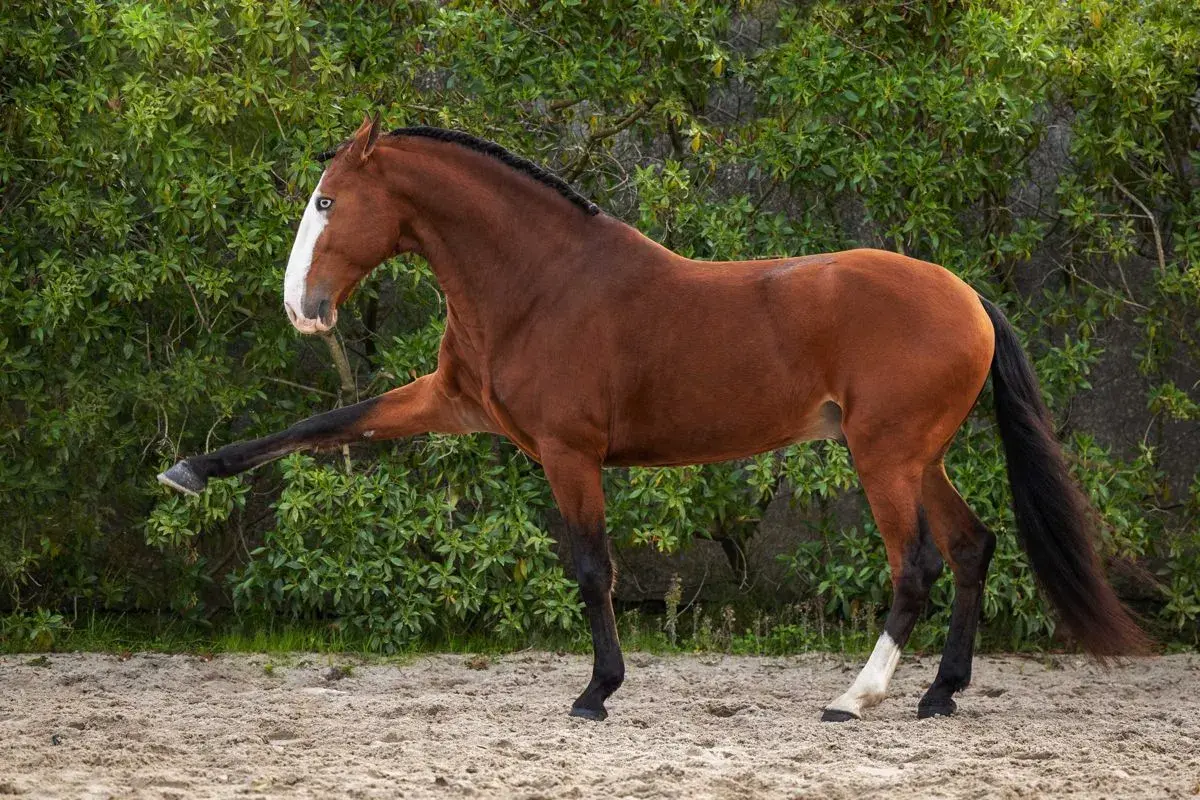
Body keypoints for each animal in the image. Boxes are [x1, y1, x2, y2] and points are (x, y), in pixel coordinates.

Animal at [158, 114, 1147, 722]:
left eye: (327, 201)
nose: (303, 307)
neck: (539, 283)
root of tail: (968, 296)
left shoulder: (568, 452)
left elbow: (592, 567)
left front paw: (597, 692)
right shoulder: (450, 403)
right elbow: (326, 423)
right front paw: (191, 472)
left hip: (883, 458)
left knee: (919, 567)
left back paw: (854, 697)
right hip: (915, 456)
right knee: (974, 547)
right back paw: (940, 694)